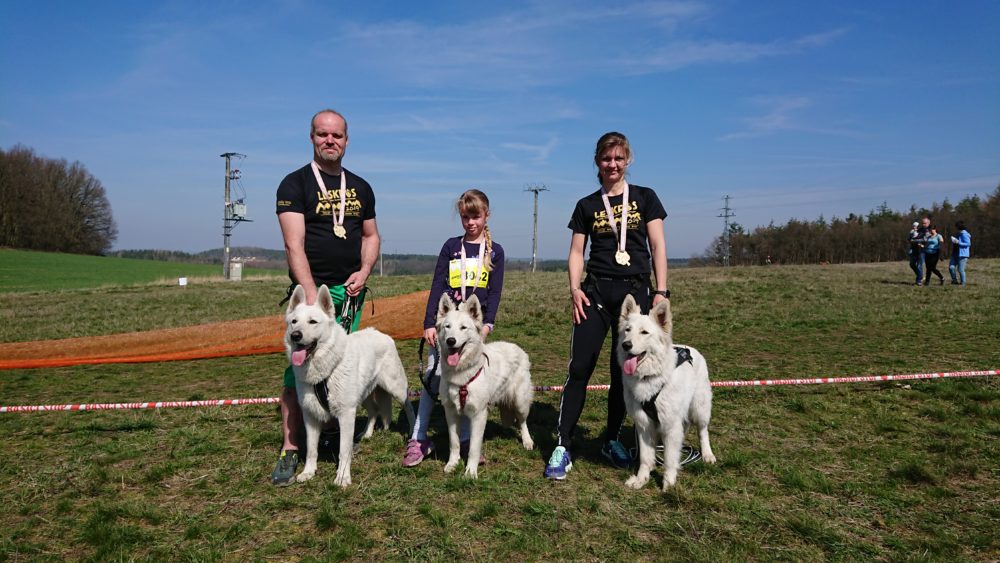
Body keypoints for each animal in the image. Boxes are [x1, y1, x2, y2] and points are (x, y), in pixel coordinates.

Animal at [284, 284, 416, 486]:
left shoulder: (346, 414)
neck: (324, 371)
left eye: (313, 322)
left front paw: (342, 477)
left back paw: (412, 430)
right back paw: (367, 434)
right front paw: (308, 472)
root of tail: (380, 333)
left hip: (397, 389)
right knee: (374, 411)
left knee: (408, 407)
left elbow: (343, 451)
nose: (295, 335)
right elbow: (312, 450)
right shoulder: (311, 415)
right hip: (364, 396)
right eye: (294, 322)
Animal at [434, 294, 536, 478]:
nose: (451, 341)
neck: (461, 374)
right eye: (447, 327)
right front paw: (452, 464)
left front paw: (470, 472)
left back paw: (527, 441)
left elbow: (474, 447)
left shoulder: (479, 415)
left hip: (520, 401)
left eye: (463, 328)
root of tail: (517, 347)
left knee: (522, 421)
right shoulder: (451, 412)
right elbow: (454, 442)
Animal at [612, 296, 716, 490]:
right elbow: (646, 458)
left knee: (703, 431)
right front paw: (641, 479)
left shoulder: (670, 424)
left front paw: (668, 484)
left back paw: (707, 454)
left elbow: (669, 457)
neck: (649, 377)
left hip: (699, 409)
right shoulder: (644, 424)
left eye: (644, 332)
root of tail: (691, 349)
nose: (626, 345)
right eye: (627, 330)